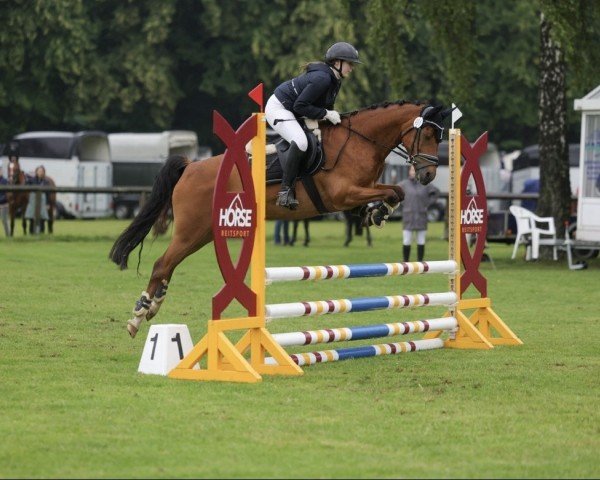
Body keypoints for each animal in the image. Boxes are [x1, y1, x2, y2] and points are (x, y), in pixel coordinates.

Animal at [111, 99, 450, 336]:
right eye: (428, 133)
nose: (429, 175)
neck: (360, 141)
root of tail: (191, 166)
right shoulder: (342, 194)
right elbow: (394, 192)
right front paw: (379, 211)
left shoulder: (361, 190)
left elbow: (395, 191)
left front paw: (376, 213)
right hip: (191, 230)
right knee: (162, 264)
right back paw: (138, 316)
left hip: (203, 232)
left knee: (168, 265)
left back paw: (151, 307)